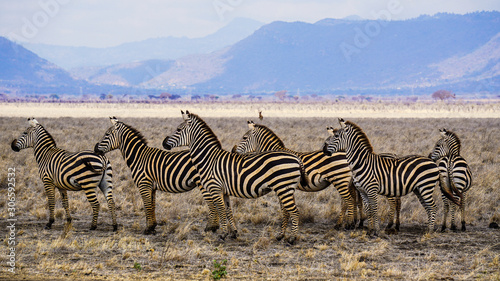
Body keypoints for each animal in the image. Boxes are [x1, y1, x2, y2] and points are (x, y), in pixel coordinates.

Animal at [164, 110, 304, 244]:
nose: (164, 143)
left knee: (294, 211)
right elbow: (228, 210)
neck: (209, 159)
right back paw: (281, 236)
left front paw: (222, 234)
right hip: (284, 189)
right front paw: (233, 233)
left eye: (178, 129)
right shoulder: (224, 191)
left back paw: (291, 239)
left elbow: (221, 210)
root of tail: (296, 158)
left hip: (283, 188)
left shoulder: (215, 188)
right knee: (287, 211)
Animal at [322, 117, 458, 234]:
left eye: (336, 136)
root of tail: (434, 163)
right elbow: (368, 210)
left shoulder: (372, 189)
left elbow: (374, 209)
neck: (362, 162)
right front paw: (370, 231)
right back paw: (428, 229)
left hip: (426, 187)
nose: (323, 149)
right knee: (428, 207)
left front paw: (376, 231)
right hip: (419, 189)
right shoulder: (362, 191)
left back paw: (429, 231)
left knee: (433, 207)